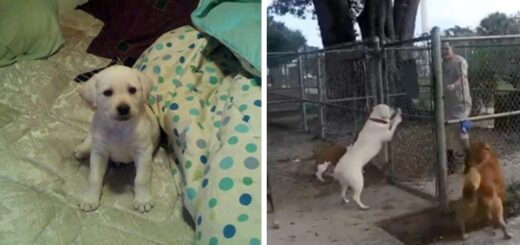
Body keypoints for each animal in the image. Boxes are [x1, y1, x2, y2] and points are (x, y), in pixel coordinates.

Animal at [72, 64, 159, 212]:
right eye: (107, 93)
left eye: (132, 90)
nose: (123, 108)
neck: (119, 127)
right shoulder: (99, 153)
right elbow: (94, 178)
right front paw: (90, 199)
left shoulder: (143, 152)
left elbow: (141, 179)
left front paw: (143, 199)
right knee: (90, 136)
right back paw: (83, 149)